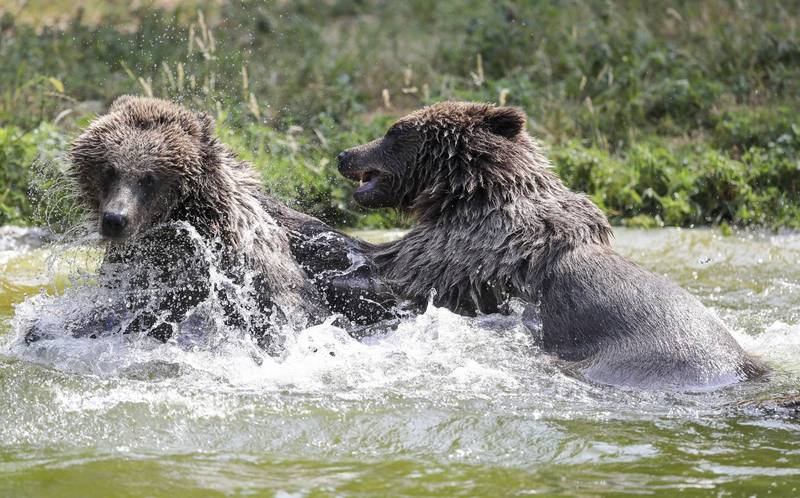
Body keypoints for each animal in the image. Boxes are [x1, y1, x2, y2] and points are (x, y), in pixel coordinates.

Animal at [334, 100, 764, 390]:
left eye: (394, 130)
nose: (343, 154)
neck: (471, 192)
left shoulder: (473, 247)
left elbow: (401, 269)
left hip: (636, 359)